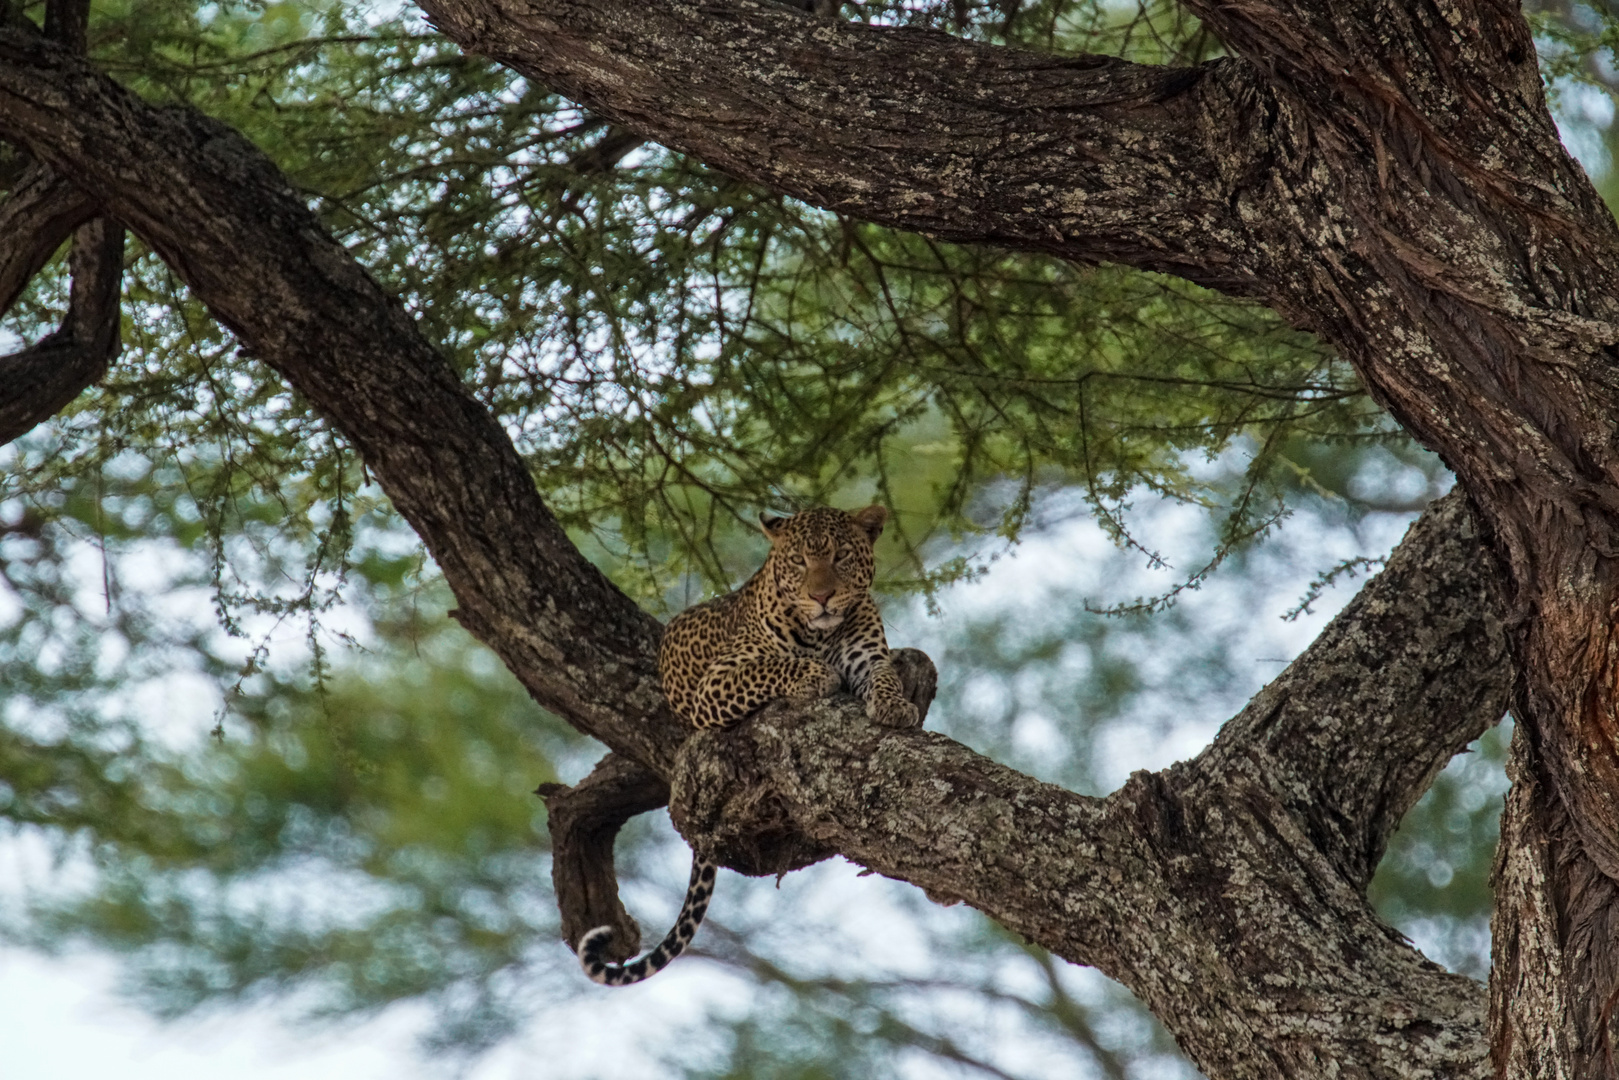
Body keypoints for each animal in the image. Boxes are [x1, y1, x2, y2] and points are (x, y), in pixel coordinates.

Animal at [576, 508, 919, 990]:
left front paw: (895, 705)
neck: (819, 635)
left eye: (840, 556)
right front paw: (816, 674)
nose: (822, 596)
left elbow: (886, 676)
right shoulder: (718, 681)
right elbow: (775, 666)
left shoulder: (869, 659)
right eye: (798, 561)